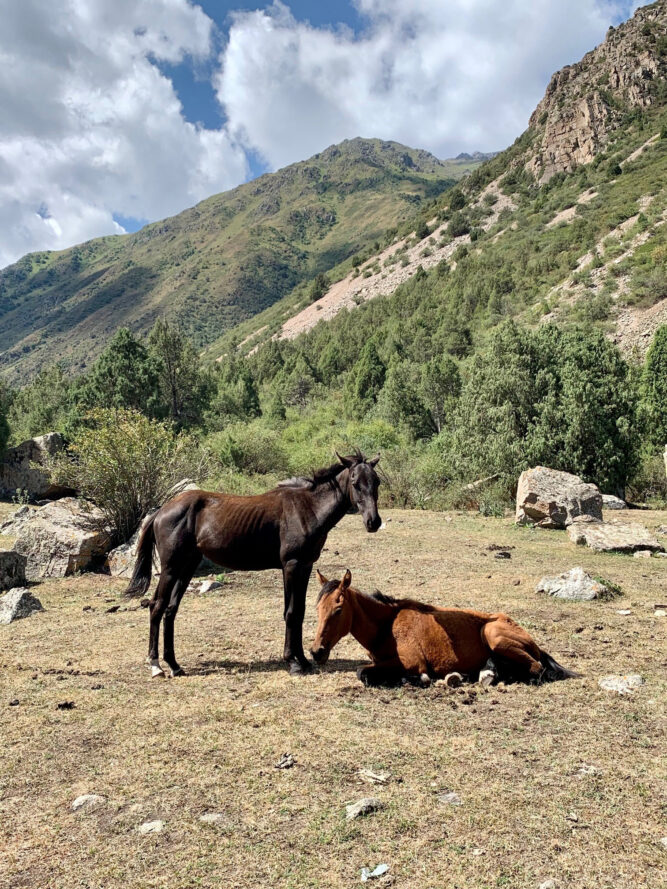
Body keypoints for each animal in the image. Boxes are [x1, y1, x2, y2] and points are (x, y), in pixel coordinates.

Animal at [122, 450, 378, 672]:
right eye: (355, 482)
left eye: (376, 482)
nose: (373, 522)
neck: (307, 508)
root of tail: (162, 510)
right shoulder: (291, 566)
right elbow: (291, 612)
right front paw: (293, 662)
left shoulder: (305, 566)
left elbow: (300, 611)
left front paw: (303, 661)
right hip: (170, 569)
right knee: (157, 606)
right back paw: (156, 666)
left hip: (187, 567)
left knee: (170, 610)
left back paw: (175, 666)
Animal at [314, 568, 580, 688]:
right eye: (317, 608)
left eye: (338, 609)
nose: (317, 652)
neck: (387, 626)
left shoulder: (411, 661)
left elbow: (363, 673)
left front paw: (419, 679)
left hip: (493, 635)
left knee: (536, 669)